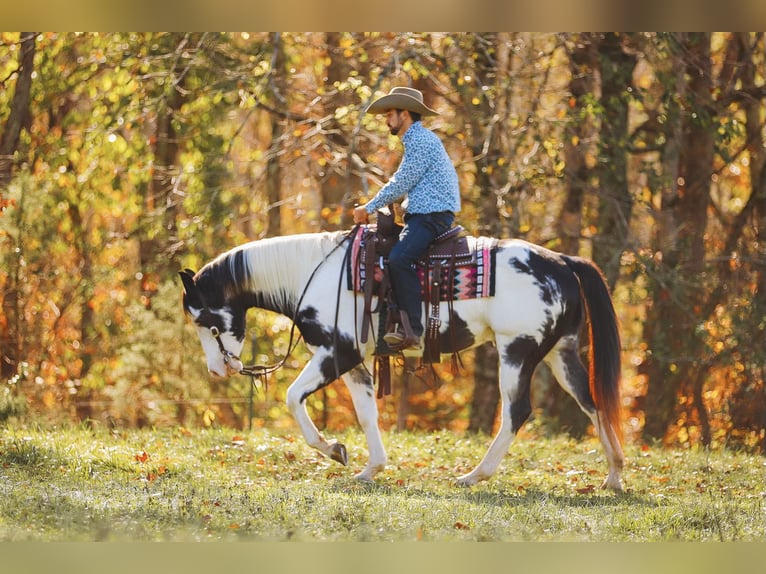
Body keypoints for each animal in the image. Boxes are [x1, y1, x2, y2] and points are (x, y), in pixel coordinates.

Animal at [183, 228, 628, 490]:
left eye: (206, 321)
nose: (217, 369)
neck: (314, 273)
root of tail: (563, 262)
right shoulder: (354, 361)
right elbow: (366, 414)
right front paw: (369, 468)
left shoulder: (337, 352)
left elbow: (293, 398)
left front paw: (333, 450)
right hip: (559, 353)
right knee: (592, 404)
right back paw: (614, 475)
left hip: (516, 351)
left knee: (517, 412)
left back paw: (474, 475)